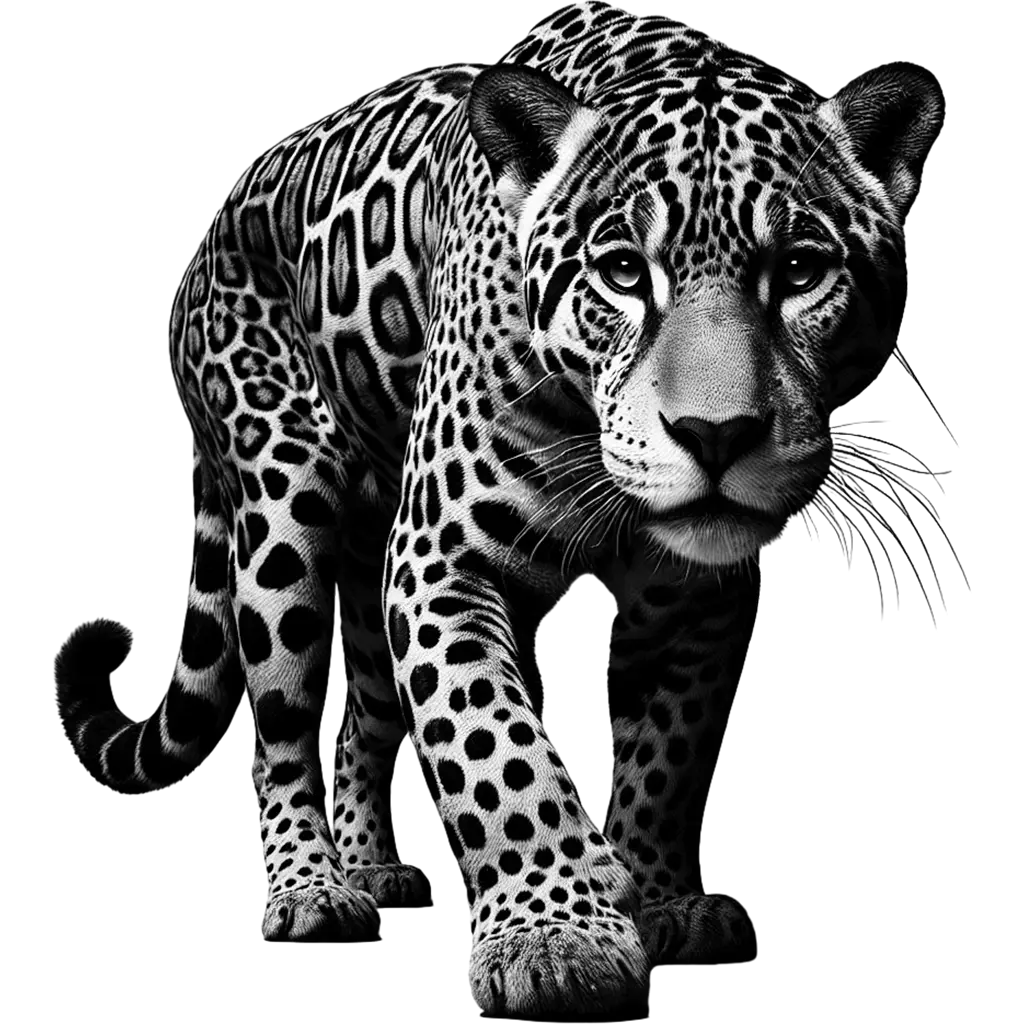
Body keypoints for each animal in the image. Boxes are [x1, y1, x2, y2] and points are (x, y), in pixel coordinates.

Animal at [52, 0, 944, 1016]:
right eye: (623, 272)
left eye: (799, 271)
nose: (715, 435)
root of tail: (220, 212)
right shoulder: (446, 558)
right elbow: (494, 746)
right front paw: (553, 939)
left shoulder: (696, 598)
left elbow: (667, 755)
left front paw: (662, 900)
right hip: (282, 501)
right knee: (281, 723)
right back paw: (310, 889)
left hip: (368, 551)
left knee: (365, 712)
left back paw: (374, 865)